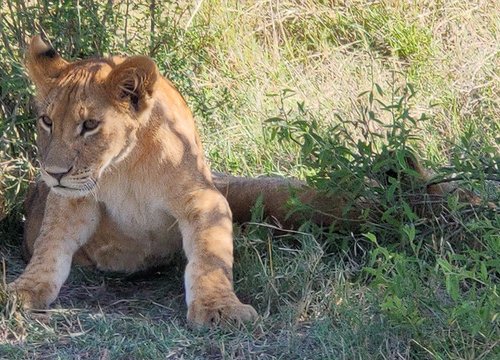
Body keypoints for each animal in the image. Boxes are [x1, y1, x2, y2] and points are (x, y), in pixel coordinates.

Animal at [6, 35, 488, 326]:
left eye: (89, 126)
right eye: (47, 121)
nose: (54, 172)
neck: (121, 167)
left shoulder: (205, 200)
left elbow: (210, 259)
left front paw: (219, 309)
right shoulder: (69, 203)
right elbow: (48, 251)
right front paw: (22, 292)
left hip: (272, 194)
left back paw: (433, 190)